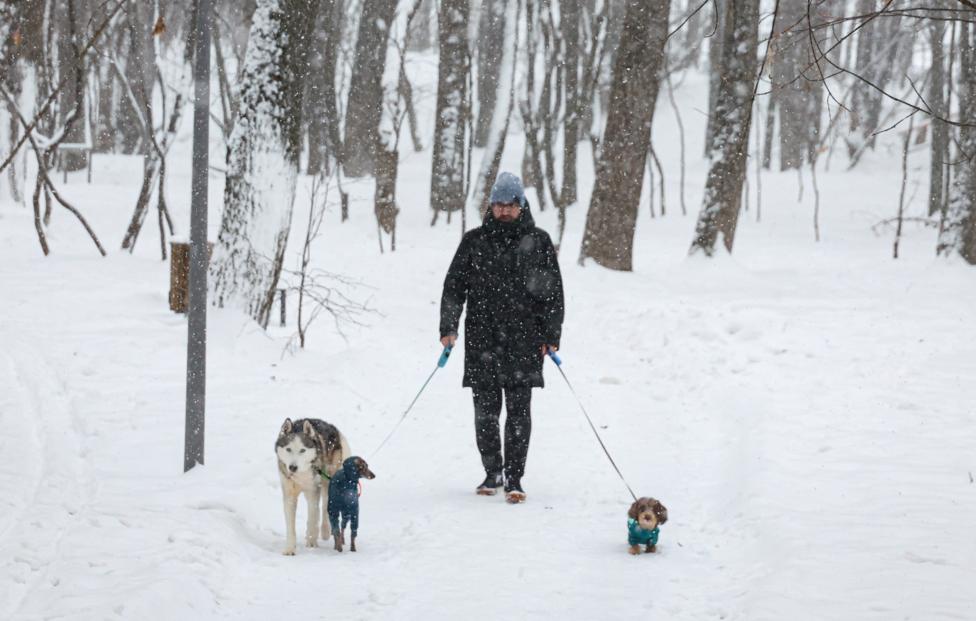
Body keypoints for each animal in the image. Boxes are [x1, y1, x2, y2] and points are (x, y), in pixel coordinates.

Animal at [274, 418, 350, 556]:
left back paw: (325, 531)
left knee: (325, 507)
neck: (300, 475)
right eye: (288, 449)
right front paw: (290, 549)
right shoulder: (289, 496)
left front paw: (311, 543)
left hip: (327, 483)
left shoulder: (313, 492)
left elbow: (313, 516)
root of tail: (332, 427)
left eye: (302, 450)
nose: (292, 467)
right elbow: (291, 526)